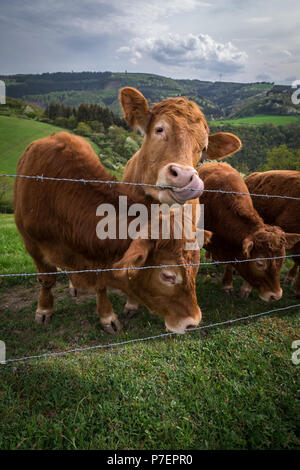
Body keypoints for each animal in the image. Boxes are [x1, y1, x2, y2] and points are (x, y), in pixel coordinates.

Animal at [14, 130, 206, 332]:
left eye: (196, 268)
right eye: (168, 276)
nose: (193, 322)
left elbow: (100, 284)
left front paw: (107, 316)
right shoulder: (32, 244)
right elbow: (46, 279)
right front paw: (44, 310)